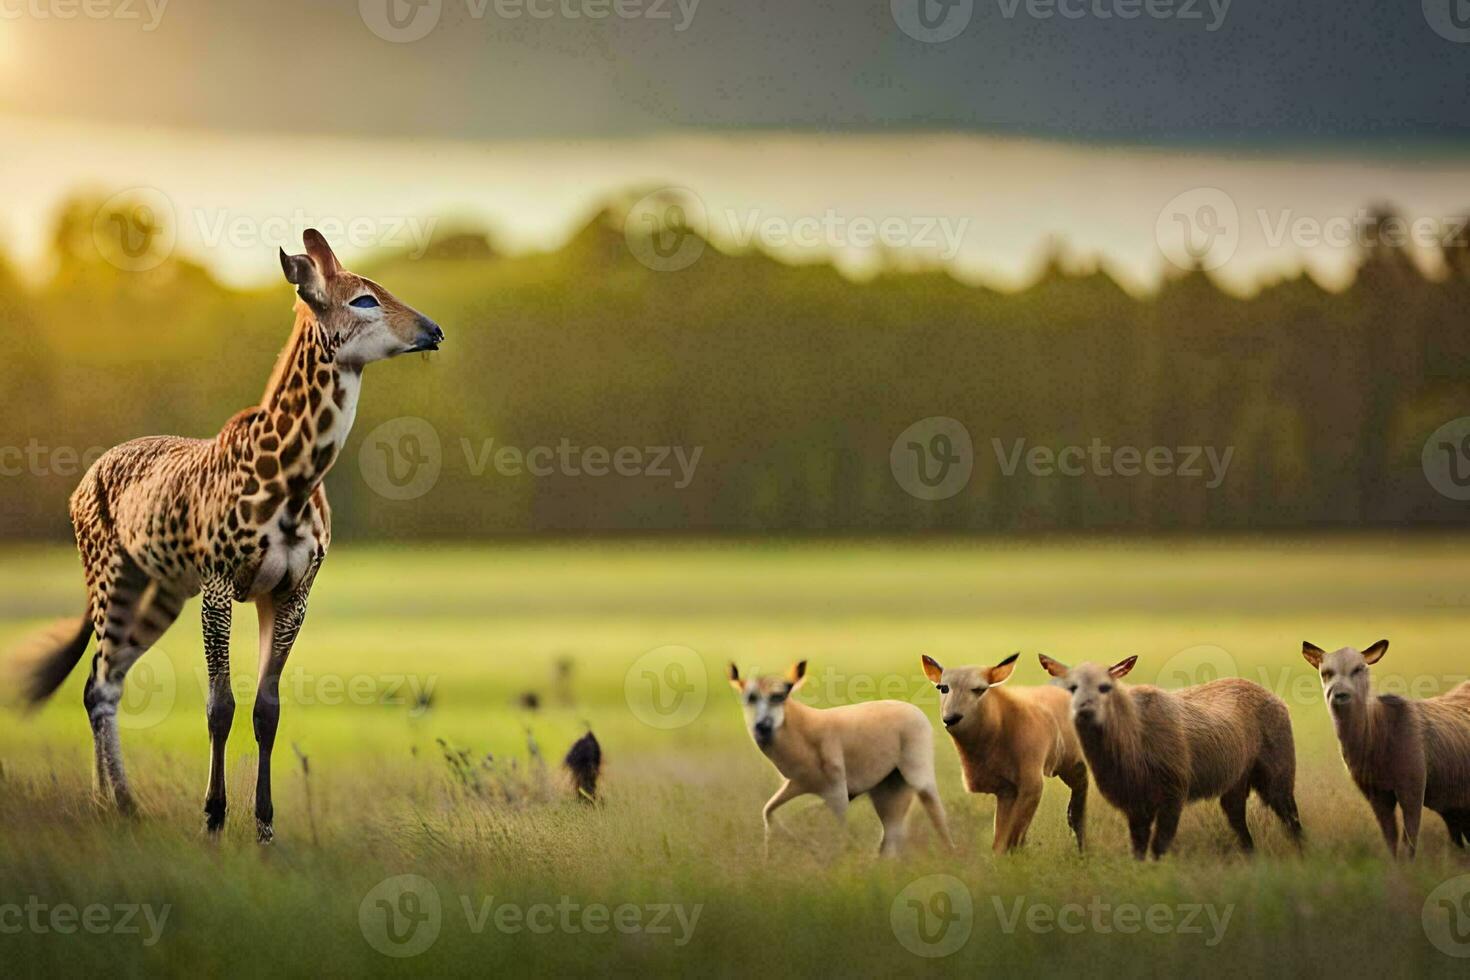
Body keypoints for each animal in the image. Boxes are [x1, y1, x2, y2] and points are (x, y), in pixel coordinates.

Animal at [11, 230, 441, 846]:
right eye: (363, 298)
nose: (433, 330)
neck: (293, 480)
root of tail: (81, 483)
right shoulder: (219, 582)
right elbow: (220, 704)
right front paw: (213, 819)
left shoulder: (290, 591)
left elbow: (267, 709)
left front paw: (264, 828)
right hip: (111, 575)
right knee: (99, 682)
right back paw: (120, 805)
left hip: (161, 591)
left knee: (104, 679)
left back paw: (110, 806)